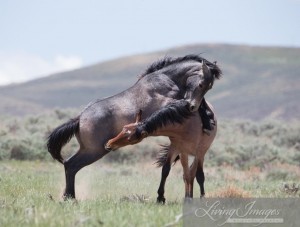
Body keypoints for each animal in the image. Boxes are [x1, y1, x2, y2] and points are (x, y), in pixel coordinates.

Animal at [46, 54, 220, 199]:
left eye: (209, 87)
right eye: (201, 84)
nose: (192, 107)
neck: (165, 79)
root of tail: (80, 119)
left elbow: (200, 104)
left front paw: (208, 118)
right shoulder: (172, 102)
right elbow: (193, 104)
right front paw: (207, 119)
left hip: (89, 150)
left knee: (69, 165)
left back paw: (68, 197)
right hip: (94, 151)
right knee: (71, 165)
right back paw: (70, 197)